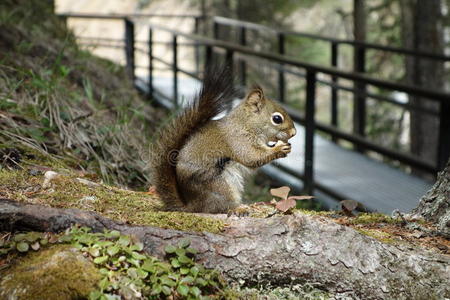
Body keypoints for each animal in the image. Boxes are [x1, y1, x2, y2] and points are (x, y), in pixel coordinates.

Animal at [149, 65, 298, 213]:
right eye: (277, 119)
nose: (294, 133)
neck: (245, 124)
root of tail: (193, 206)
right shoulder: (238, 140)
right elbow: (252, 157)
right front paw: (279, 149)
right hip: (221, 185)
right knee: (220, 207)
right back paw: (239, 208)